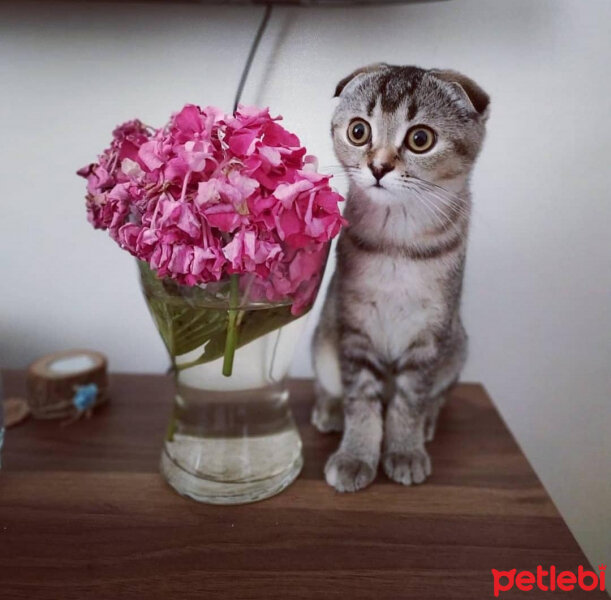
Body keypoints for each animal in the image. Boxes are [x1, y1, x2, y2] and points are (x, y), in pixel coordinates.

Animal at [314, 63, 490, 492]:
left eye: (420, 138)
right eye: (358, 131)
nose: (378, 166)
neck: (398, 244)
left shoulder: (430, 334)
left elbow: (409, 400)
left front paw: (405, 449)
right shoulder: (355, 325)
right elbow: (361, 400)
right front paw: (355, 455)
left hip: (456, 347)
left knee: (436, 396)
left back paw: (427, 423)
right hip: (324, 342)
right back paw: (330, 410)